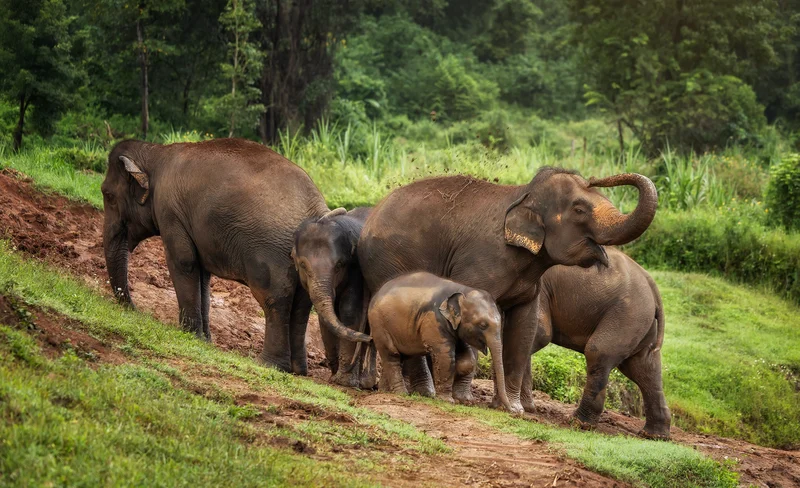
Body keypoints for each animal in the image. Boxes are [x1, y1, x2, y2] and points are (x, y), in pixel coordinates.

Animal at [101, 138, 329, 374]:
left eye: (108, 195)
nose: (134, 310)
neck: (154, 152)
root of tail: (315, 209)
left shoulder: (170, 212)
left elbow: (183, 261)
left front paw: (189, 336)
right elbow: (202, 275)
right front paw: (205, 341)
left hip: (272, 254)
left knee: (275, 301)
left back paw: (269, 365)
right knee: (301, 306)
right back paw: (298, 370)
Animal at [291, 206, 376, 389]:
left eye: (339, 265)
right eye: (303, 265)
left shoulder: (356, 270)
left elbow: (350, 311)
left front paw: (344, 382)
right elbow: (326, 319)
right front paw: (334, 377)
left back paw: (367, 382)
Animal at [368, 272, 515, 412]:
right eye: (483, 325)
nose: (513, 410)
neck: (462, 290)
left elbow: (467, 360)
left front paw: (462, 399)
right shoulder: (434, 320)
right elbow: (445, 357)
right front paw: (447, 401)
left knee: (402, 356)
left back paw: (384, 391)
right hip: (379, 325)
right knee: (392, 355)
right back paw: (401, 393)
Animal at [533, 246, 670, 439]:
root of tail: (652, 285)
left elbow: (540, 333)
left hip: (627, 314)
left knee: (598, 352)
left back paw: (579, 423)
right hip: (641, 320)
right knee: (643, 369)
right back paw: (654, 435)